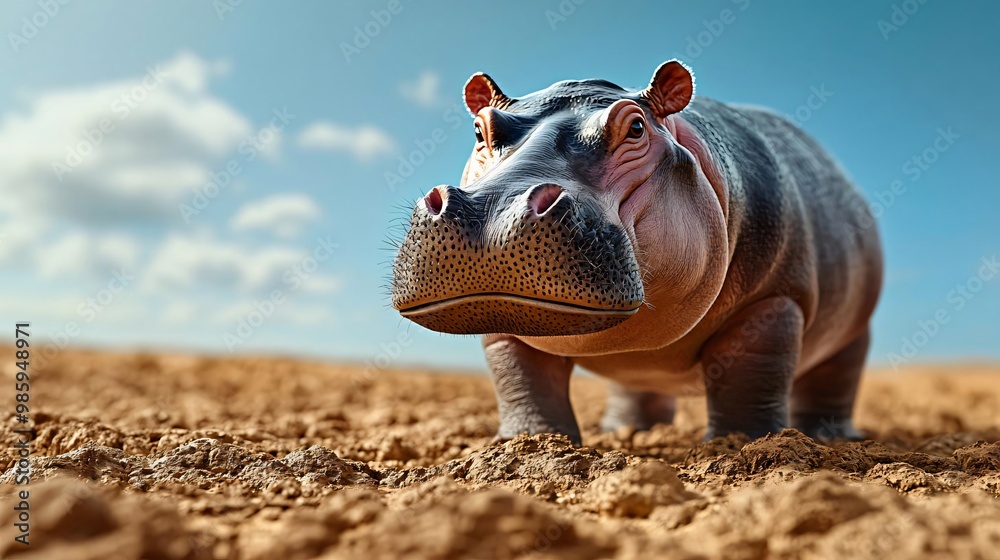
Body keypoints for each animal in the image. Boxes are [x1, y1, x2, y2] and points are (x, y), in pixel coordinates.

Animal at [391, 60, 883, 444]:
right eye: (480, 129)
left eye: (636, 128)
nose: (489, 213)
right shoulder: (504, 325)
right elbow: (523, 380)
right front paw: (529, 445)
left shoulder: (774, 299)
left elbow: (751, 378)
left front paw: (748, 444)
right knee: (636, 383)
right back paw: (626, 433)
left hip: (852, 332)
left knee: (835, 377)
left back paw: (830, 437)